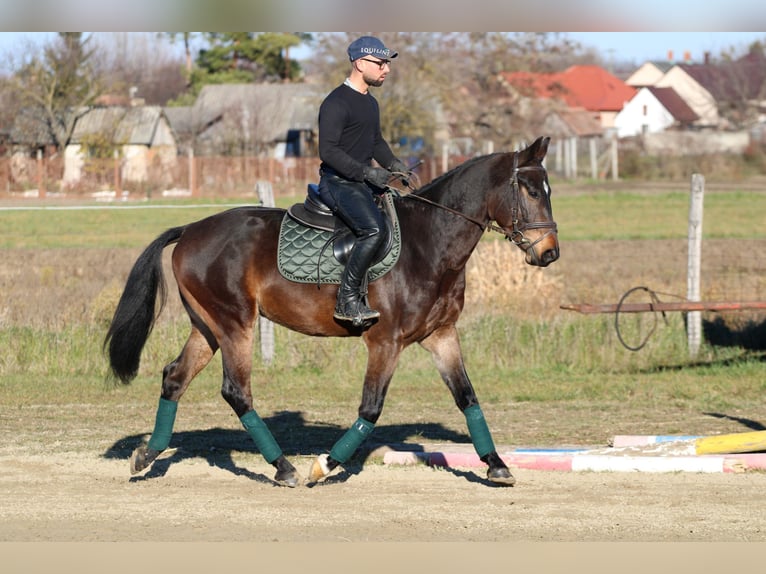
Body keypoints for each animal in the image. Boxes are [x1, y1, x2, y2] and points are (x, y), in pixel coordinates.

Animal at [103, 136, 560, 490]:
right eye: (531, 192)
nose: (550, 254)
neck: (430, 242)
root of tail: (191, 230)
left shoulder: (441, 335)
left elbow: (467, 398)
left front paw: (497, 465)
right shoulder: (386, 342)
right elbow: (370, 409)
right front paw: (323, 466)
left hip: (208, 327)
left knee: (174, 378)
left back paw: (146, 455)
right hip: (235, 324)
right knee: (236, 391)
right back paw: (283, 468)